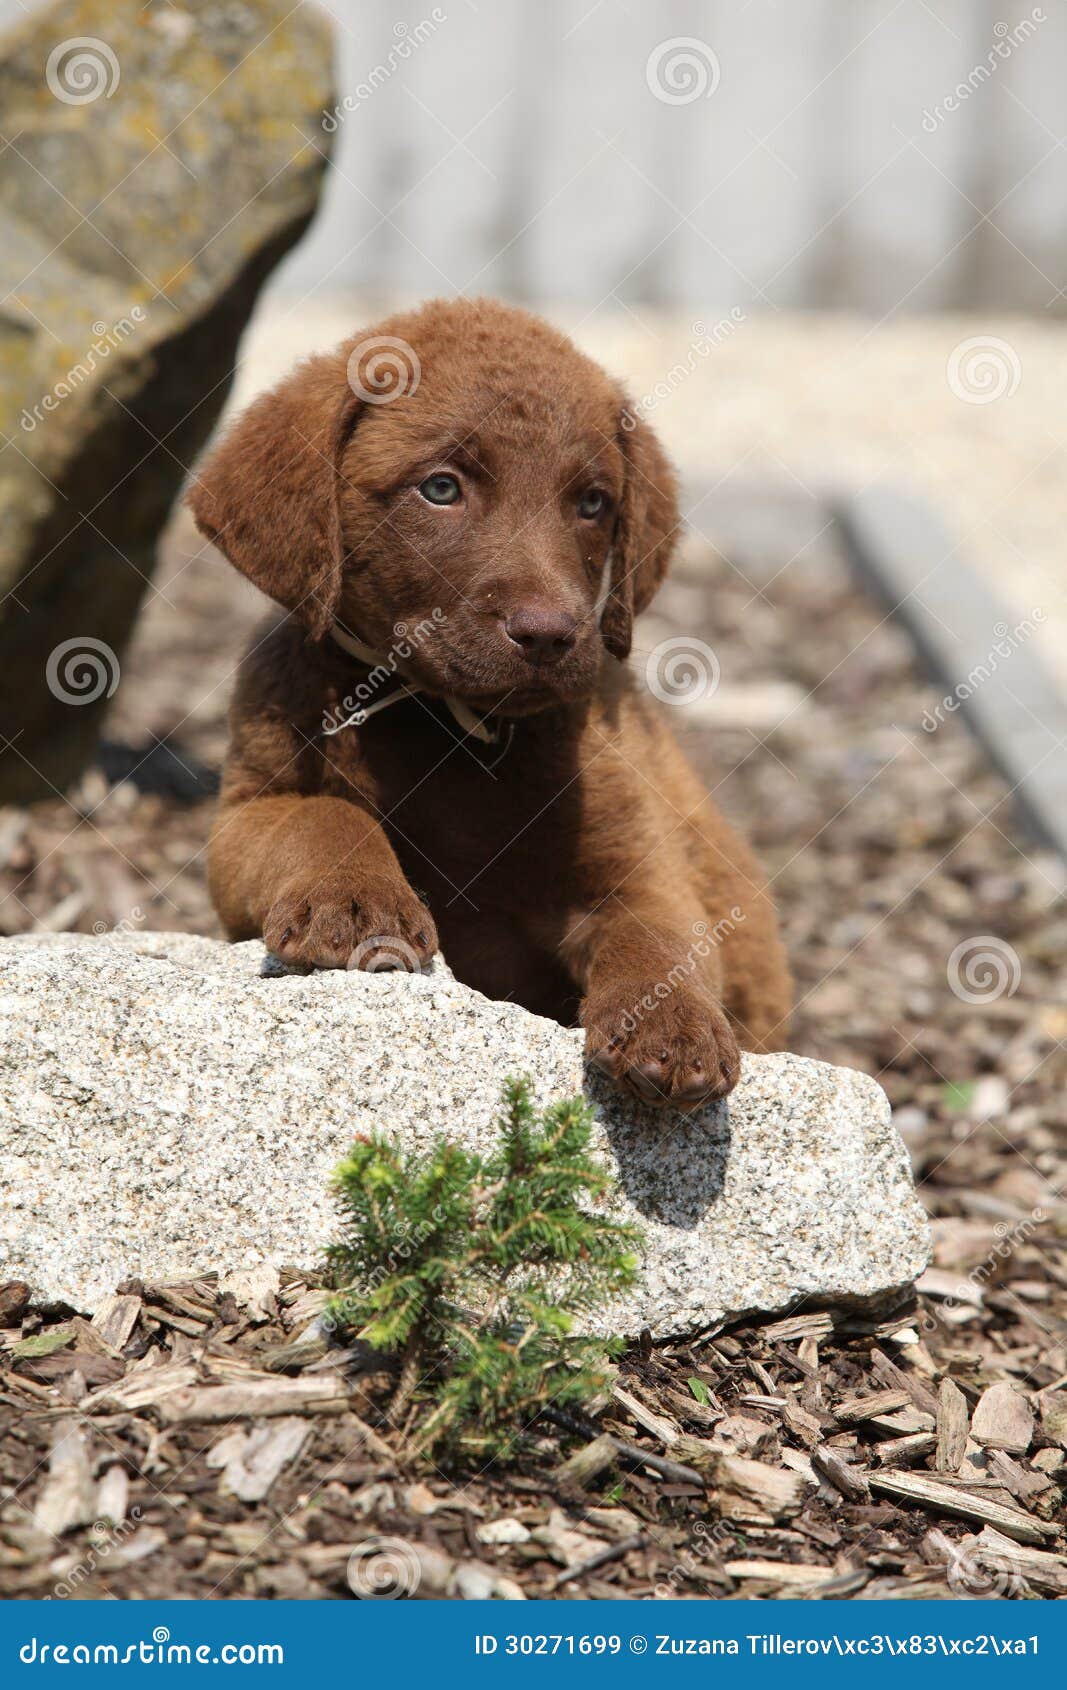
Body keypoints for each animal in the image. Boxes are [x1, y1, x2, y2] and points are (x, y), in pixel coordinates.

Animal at [190, 297, 794, 1115]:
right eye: (441, 488)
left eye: (593, 503)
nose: (548, 634)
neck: (447, 726)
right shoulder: (247, 813)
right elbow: (322, 817)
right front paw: (354, 903)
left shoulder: (642, 868)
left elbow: (659, 941)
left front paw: (671, 1026)